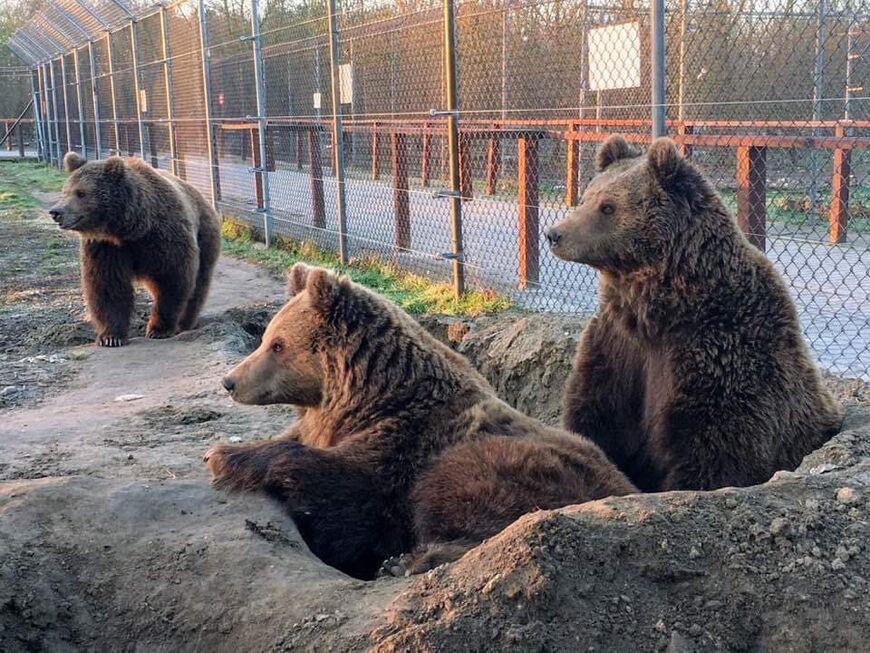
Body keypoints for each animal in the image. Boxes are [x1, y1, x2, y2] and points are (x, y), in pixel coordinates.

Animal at [47, 153, 221, 346]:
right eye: (65, 191)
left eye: (81, 193)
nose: (56, 212)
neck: (131, 229)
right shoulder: (106, 247)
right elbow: (107, 285)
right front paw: (111, 337)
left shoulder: (166, 237)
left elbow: (172, 279)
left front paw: (159, 329)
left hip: (205, 236)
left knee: (199, 284)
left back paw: (186, 323)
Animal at [207, 262, 636, 580]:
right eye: (265, 337)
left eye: (278, 345)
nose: (230, 381)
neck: (367, 395)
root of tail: (628, 488)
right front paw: (227, 450)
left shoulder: (401, 444)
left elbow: (346, 492)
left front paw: (224, 457)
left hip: (516, 465)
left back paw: (411, 560)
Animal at [544, 135, 844, 492]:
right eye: (587, 196)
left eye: (607, 206)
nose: (555, 234)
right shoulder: (618, 343)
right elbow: (597, 413)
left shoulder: (717, 348)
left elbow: (715, 446)